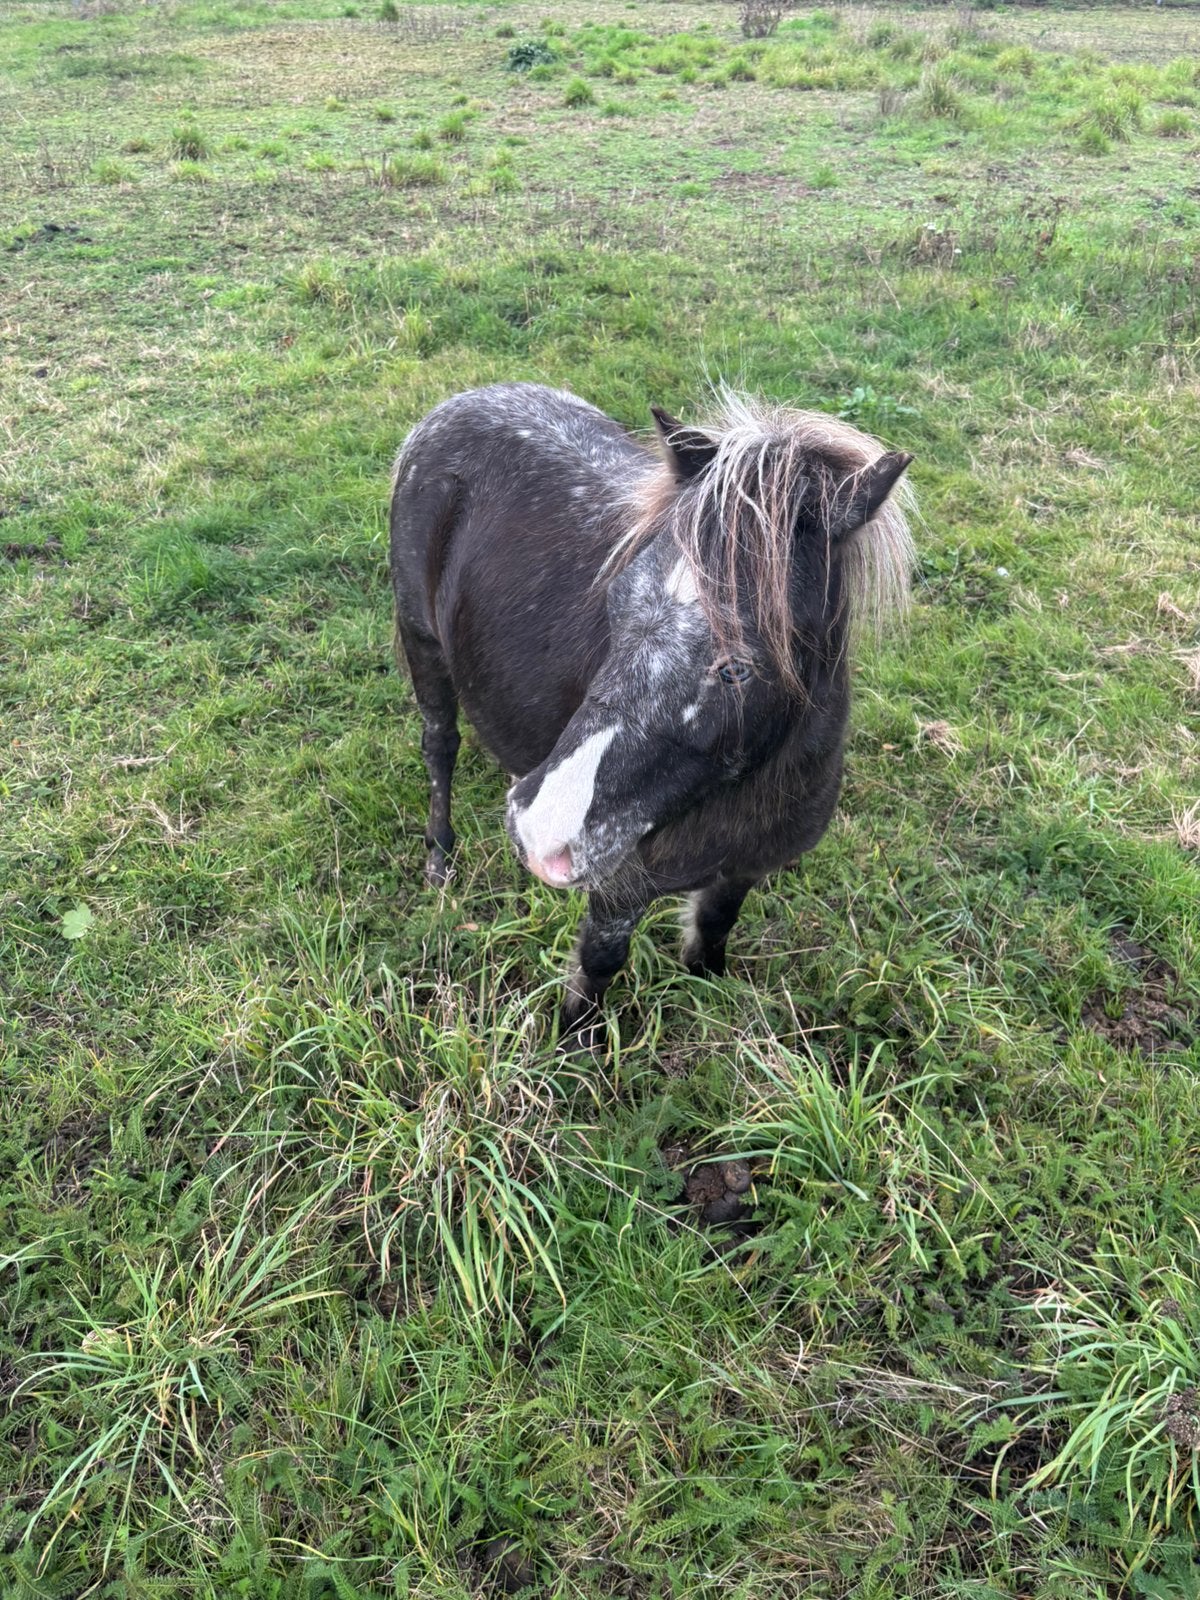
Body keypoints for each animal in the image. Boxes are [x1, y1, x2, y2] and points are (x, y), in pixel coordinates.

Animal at [389, 382, 915, 1040]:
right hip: (422, 644)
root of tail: (464, 401)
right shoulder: (618, 893)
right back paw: (440, 860)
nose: (541, 831)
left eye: (738, 667)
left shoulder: (742, 872)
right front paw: (574, 1051)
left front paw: (708, 985)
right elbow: (596, 972)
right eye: (615, 603)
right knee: (440, 746)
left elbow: (713, 931)